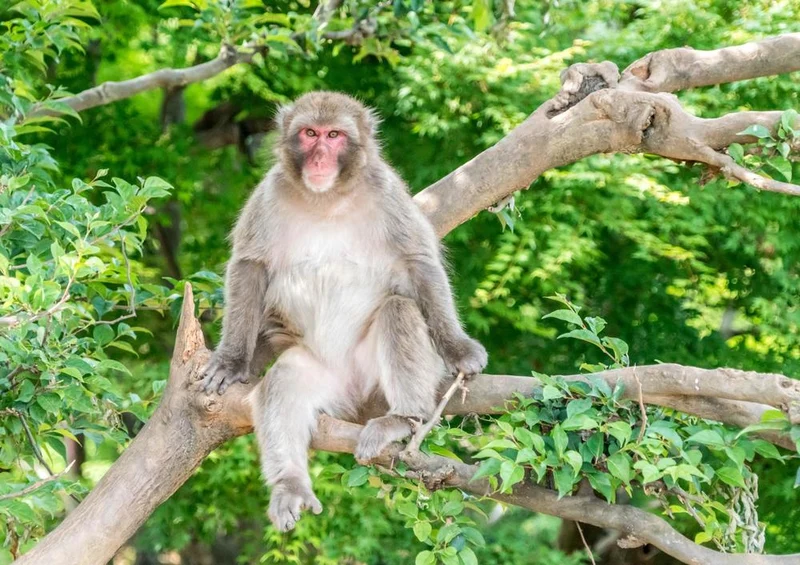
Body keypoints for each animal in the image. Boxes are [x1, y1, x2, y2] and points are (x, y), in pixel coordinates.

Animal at [201, 91, 487, 532]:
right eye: (309, 133)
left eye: (334, 135)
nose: (319, 156)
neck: (327, 199)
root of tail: (354, 394)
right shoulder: (269, 195)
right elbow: (250, 266)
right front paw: (232, 360)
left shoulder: (387, 192)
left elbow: (417, 261)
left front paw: (458, 349)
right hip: (327, 378)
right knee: (285, 380)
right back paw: (290, 484)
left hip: (373, 378)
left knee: (398, 310)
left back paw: (402, 418)